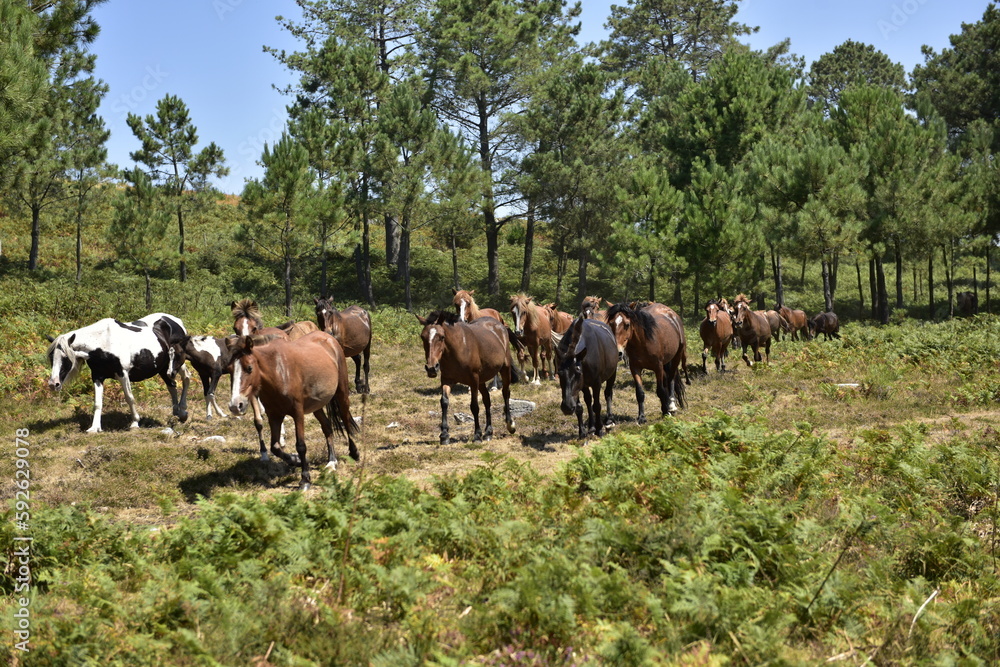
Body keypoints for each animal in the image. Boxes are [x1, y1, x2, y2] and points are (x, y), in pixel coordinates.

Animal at [47, 314, 191, 434]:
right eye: (51, 357)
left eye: (66, 358)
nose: (53, 384)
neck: (103, 341)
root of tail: (176, 321)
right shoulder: (97, 376)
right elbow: (98, 402)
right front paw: (94, 428)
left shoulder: (123, 374)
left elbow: (129, 398)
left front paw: (135, 423)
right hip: (163, 369)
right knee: (172, 385)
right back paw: (176, 412)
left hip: (176, 363)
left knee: (186, 378)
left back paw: (183, 412)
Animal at [229, 330, 360, 490]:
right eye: (230, 371)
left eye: (249, 368)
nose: (236, 405)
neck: (278, 372)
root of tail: (328, 337)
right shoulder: (274, 415)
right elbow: (275, 447)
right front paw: (295, 460)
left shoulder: (298, 413)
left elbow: (301, 445)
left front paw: (305, 479)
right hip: (317, 406)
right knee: (327, 427)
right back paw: (332, 462)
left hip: (342, 394)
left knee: (346, 420)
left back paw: (354, 453)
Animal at [418, 310, 520, 446]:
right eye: (423, 337)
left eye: (442, 337)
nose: (431, 368)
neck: (459, 349)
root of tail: (499, 324)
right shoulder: (447, 380)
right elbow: (444, 402)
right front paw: (444, 435)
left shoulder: (473, 381)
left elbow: (474, 406)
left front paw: (477, 435)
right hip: (482, 380)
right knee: (487, 400)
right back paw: (488, 432)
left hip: (504, 369)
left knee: (505, 393)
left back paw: (510, 425)